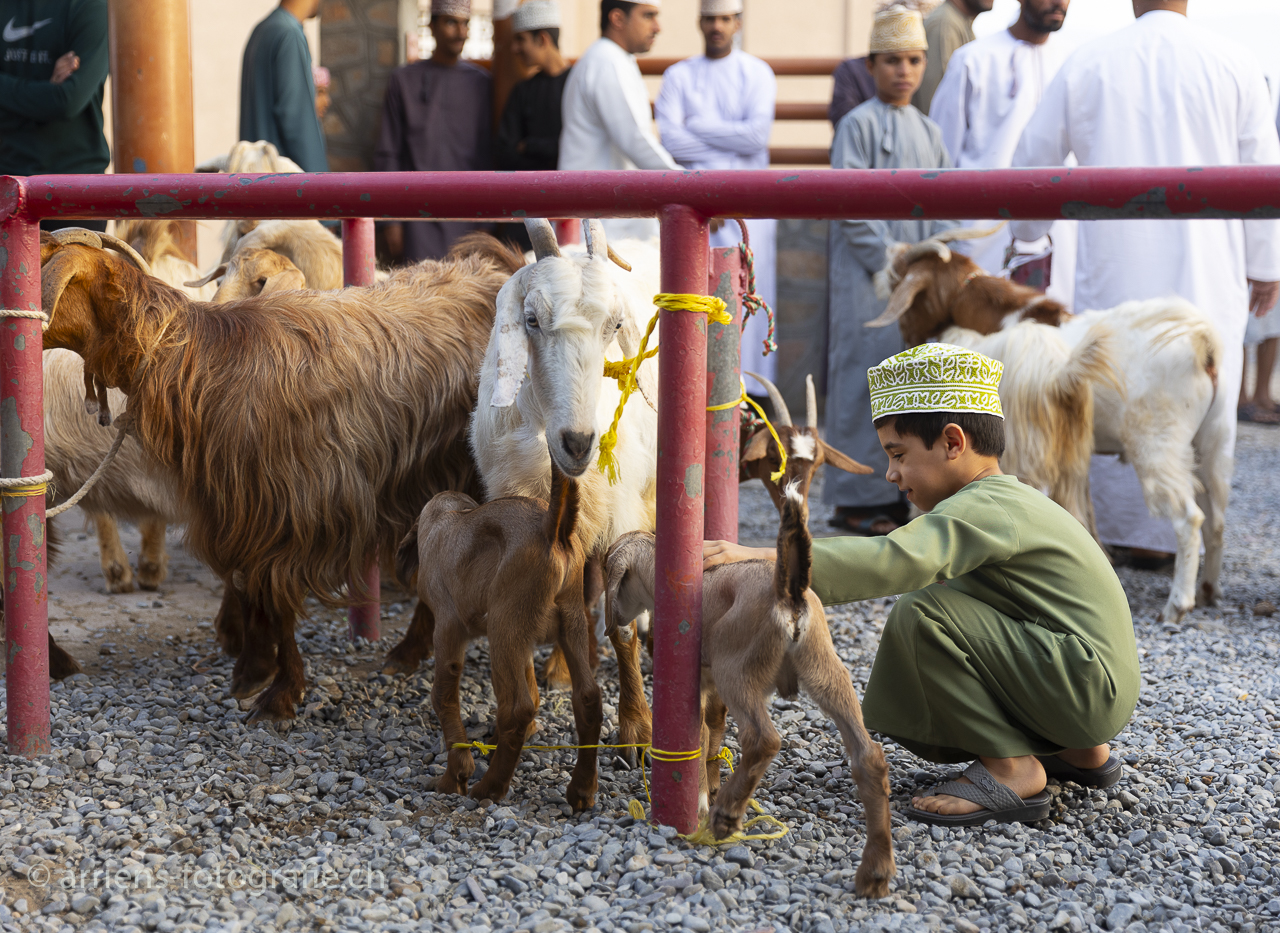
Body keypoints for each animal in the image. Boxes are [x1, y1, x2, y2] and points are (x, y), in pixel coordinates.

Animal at [41, 227, 519, 721]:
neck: (204, 358)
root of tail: (494, 265)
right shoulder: (239, 507)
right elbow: (248, 587)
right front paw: (252, 670)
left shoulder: (290, 511)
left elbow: (275, 598)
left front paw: (280, 694)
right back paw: (411, 651)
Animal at [396, 463, 601, 803]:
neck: (448, 515)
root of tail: (552, 527)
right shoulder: (525, 644)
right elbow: (533, 688)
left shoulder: (448, 628)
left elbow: (443, 696)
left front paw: (455, 776)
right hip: (570, 625)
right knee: (586, 697)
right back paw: (581, 790)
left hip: (503, 627)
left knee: (517, 709)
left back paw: (489, 787)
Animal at [604, 483, 896, 890]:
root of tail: (788, 594)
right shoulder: (709, 690)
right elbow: (709, 738)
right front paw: (707, 787)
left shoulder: (699, 686)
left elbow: (697, 740)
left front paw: (701, 803)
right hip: (829, 675)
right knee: (869, 757)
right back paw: (876, 869)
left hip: (737, 672)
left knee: (764, 739)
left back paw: (726, 815)